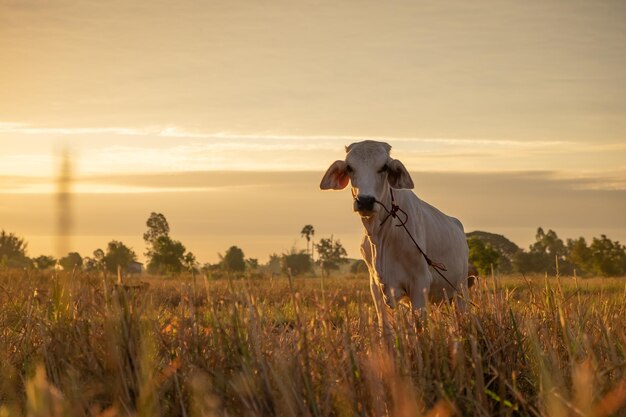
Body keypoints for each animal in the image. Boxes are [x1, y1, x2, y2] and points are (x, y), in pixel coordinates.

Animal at [320, 141, 466, 330]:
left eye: (384, 167)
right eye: (350, 167)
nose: (365, 201)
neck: (380, 237)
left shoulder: (420, 284)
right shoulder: (376, 288)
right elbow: (386, 328)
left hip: (461, 289)